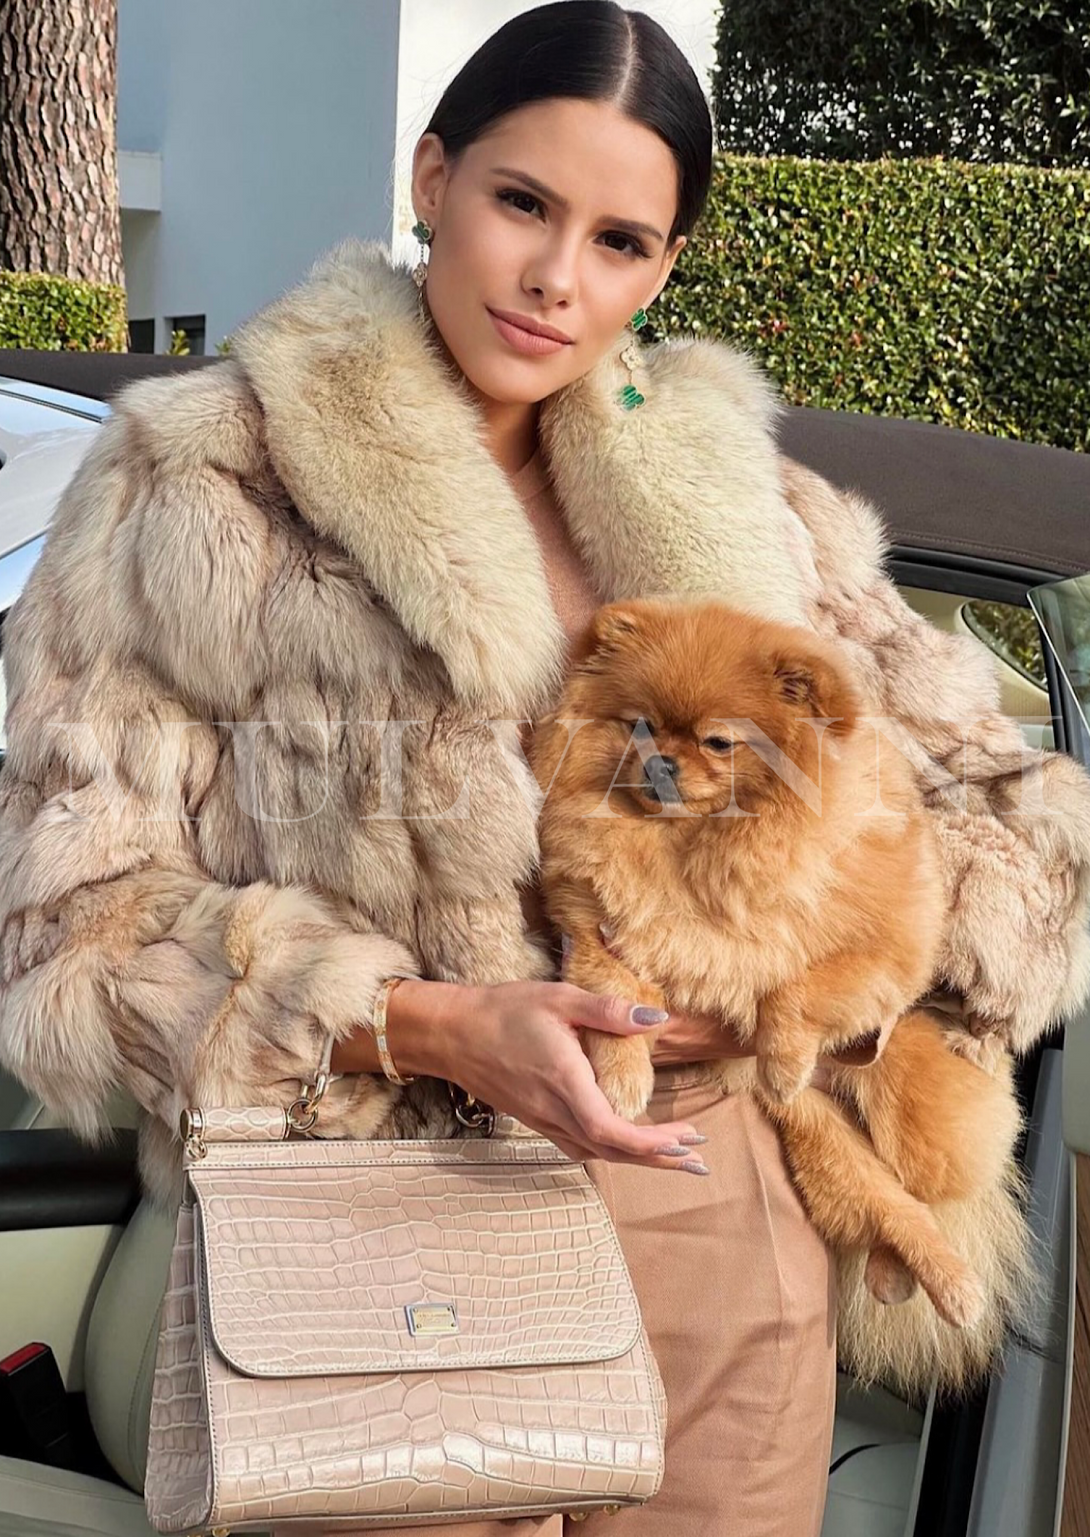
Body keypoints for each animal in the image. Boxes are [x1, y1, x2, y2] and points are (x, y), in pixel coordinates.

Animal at [525, 593, 1020, 1340]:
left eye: (718, 742)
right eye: (640, 725)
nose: (660, 763)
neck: (699, 846)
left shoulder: (885, 949)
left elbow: (798, 987)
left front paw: (782, 1057)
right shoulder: (589, 924)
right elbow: (619, 991)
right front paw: (623, 1078)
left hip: (915, 1123)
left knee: (922, 1191)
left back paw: (955, 1284)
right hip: (823, 1142)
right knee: (886, 1206)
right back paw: (903, 1273)